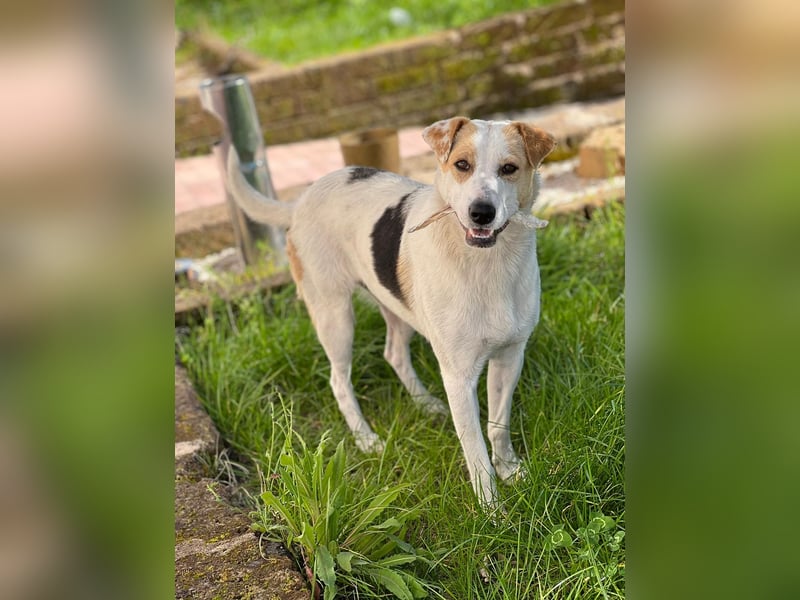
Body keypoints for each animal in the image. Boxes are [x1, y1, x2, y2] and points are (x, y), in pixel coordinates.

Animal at [226, 117, 556, 509]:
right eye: (462, 164)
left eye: (509, 169)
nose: (481, 212)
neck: (488, 263)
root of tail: (300, 200)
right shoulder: (458, 375)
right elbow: (475, 450)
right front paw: (492, 509)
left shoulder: (509, 356)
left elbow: (498, 426)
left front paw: (509, 470)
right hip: (335, 317)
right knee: (338, 381)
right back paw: (366, 439)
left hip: (398, 307)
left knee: (394, 354)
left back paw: (425, 403)